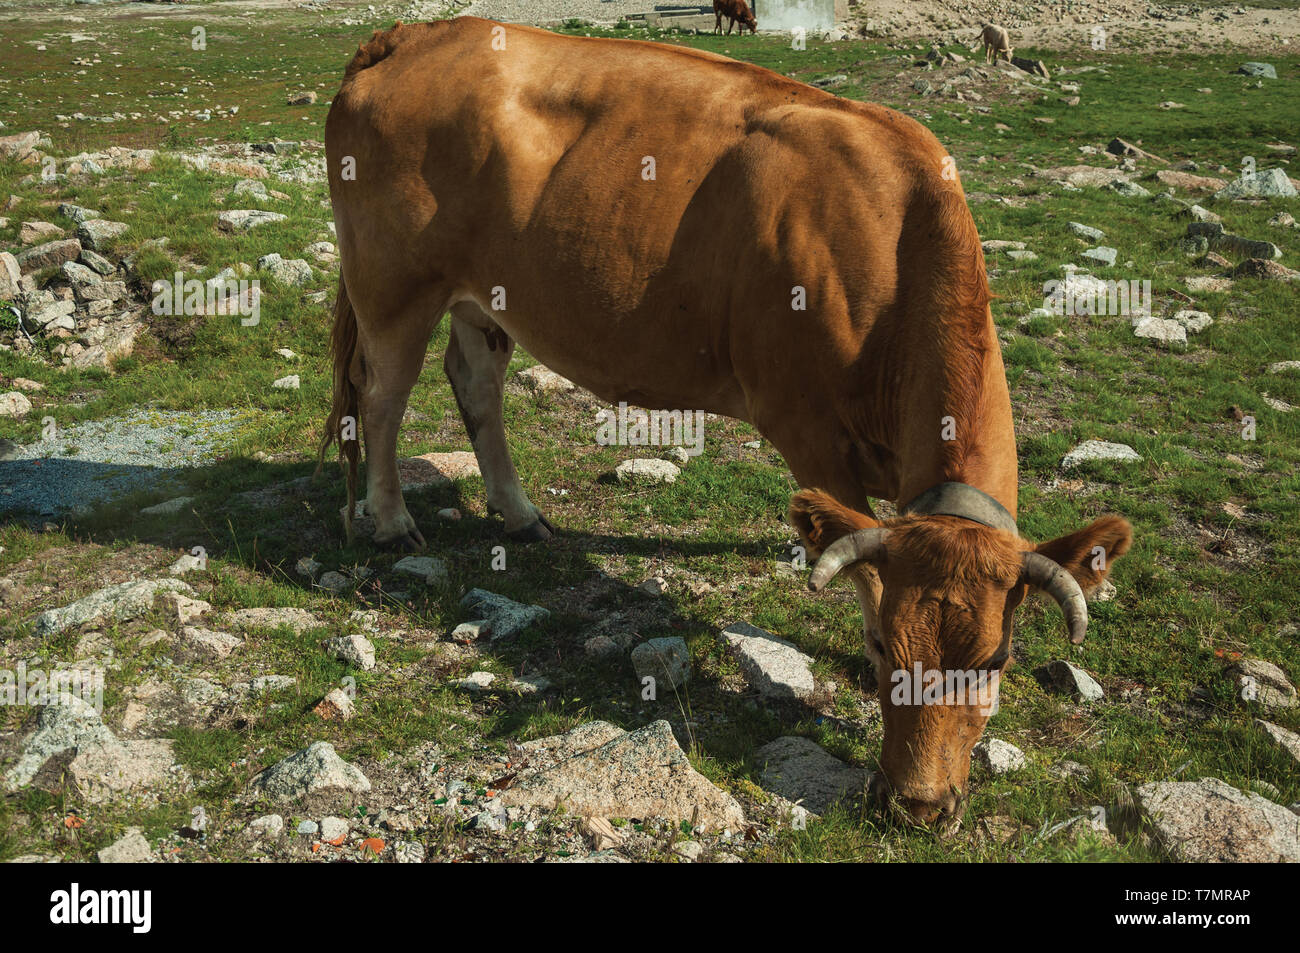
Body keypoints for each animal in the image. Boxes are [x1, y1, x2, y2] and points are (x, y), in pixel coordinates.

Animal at [322, 20, 1128, 826]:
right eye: (884, 650)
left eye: (997, 660)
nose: (918, 806)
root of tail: (417, 33)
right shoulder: (808, 431)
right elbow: (858, 567)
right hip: (391, 286)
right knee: (382, 397)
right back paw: (391, 522)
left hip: (480, 296)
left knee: (476, 386)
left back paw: (519, 516)